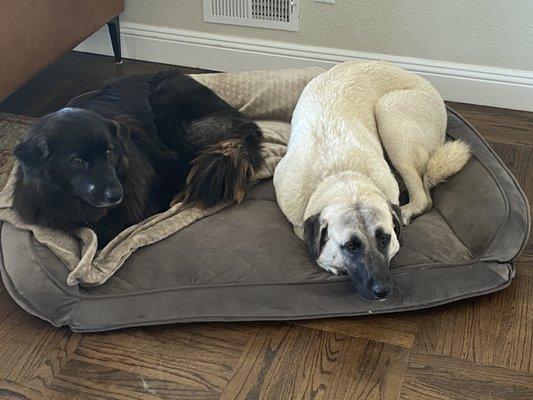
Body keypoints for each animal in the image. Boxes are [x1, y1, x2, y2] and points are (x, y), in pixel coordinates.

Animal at [274, 61, 470, 300]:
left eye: (385, 239)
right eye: (351, 246)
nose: (383, 290)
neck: (340, 173)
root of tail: (429, 85)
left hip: (389, 113)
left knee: (423, 196)